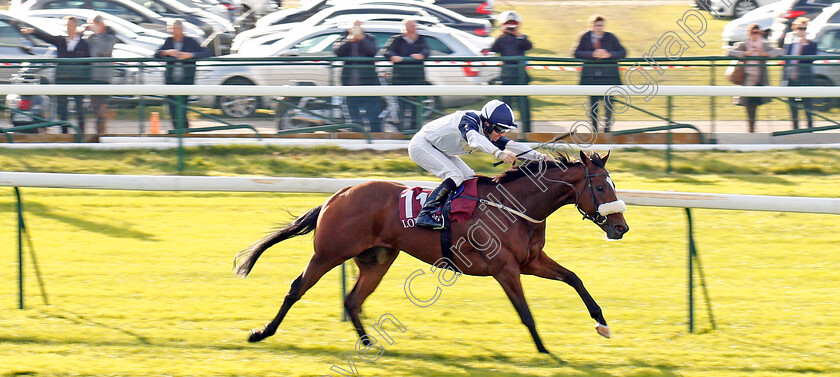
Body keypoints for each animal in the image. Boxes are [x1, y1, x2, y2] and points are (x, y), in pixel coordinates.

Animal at [233, 150, 628, 352]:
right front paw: (545, 350)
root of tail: (337, 195)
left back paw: (369, 343)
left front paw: (602, 323)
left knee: (353, 300)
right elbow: (525, 312)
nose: (621, 227)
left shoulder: (531, 261)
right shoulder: (505, 268)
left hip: (377, 259)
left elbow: (574, 278)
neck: (516, 205)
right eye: (600, 187)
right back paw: (262, 333)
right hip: (329, 253)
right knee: (297, 288)